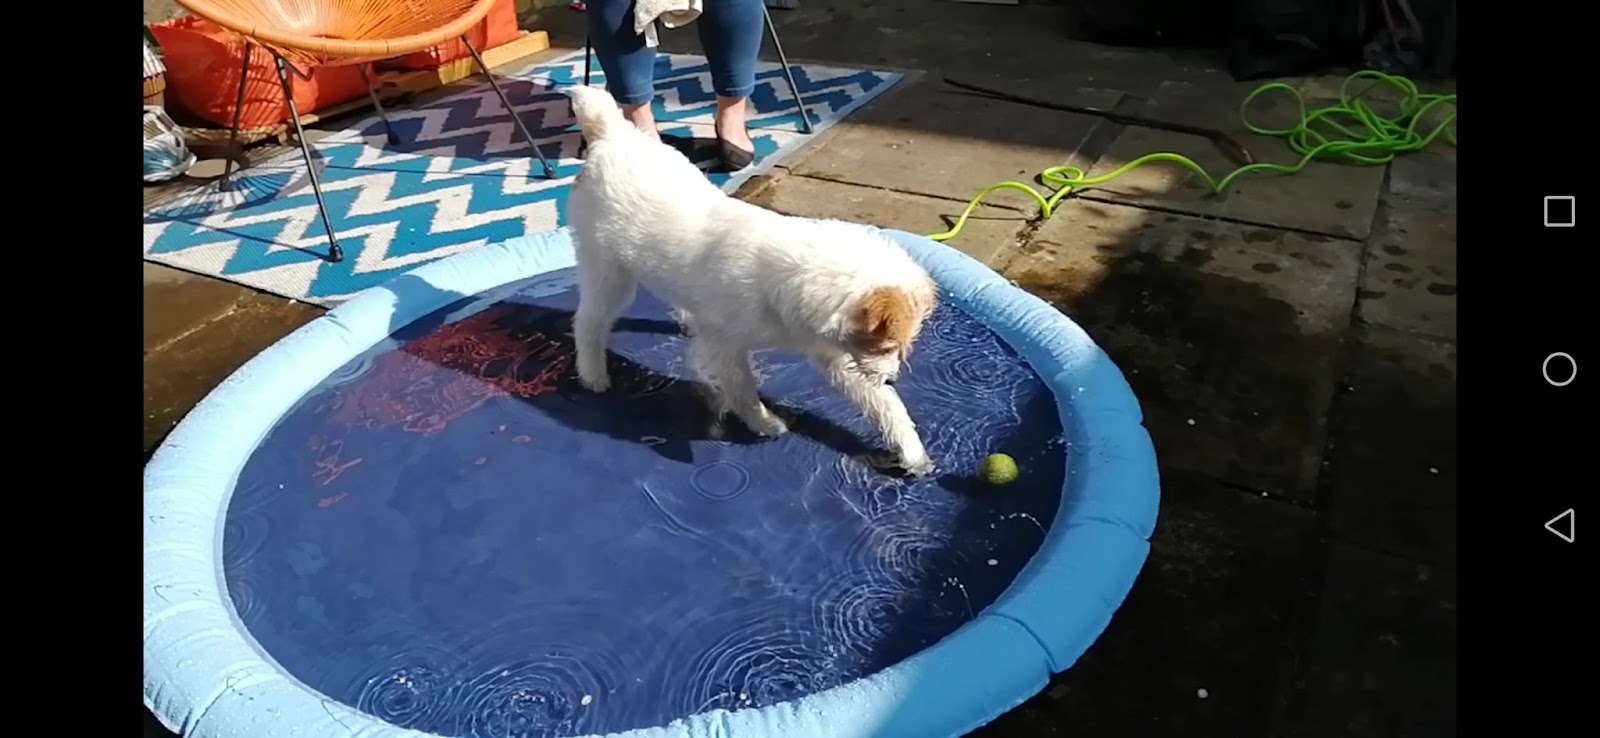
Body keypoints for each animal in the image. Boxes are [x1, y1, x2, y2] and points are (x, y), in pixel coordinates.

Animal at [563, 86, 939, 476]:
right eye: (886, 346)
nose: (893, 378)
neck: (784, 285)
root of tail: (611, 135)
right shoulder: (726, 347)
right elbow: (742, 389)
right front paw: (763, 422)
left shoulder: (835, 355)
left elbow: (884, 404)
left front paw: (911, 451)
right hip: (608, 274)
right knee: (587, 322)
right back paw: (593, 374)